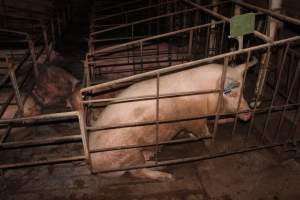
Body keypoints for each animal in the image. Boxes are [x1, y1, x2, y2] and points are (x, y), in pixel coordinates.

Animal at [88, 56, 258, 180]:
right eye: (232, 93)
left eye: (243, 90)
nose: (248, 113)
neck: (204, 95)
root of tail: (93, 165)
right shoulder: (192, 119)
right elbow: (203, 133)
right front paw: (212, 144)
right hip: (129, 153)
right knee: (137, 172)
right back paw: (166, 175)